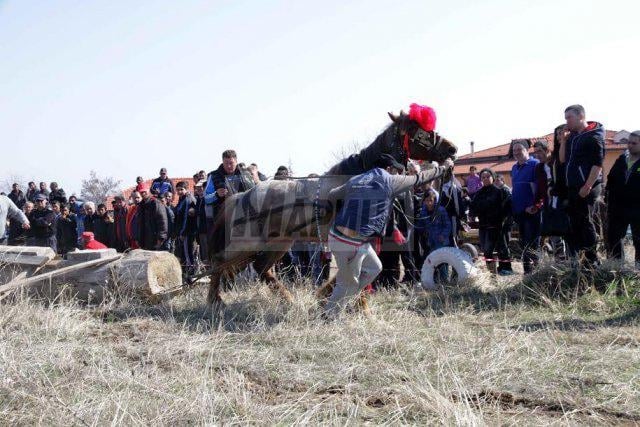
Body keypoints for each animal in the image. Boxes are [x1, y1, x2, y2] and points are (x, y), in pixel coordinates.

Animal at [202, 110, 458, 314]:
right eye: (421, 133)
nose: (452, 149)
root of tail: (241, 196)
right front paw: (356, 304)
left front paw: (327, 295)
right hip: (244, 244)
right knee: (219, 263)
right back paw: (214, 300)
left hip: (278, 243)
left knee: (261, 269)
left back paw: (287, 298)